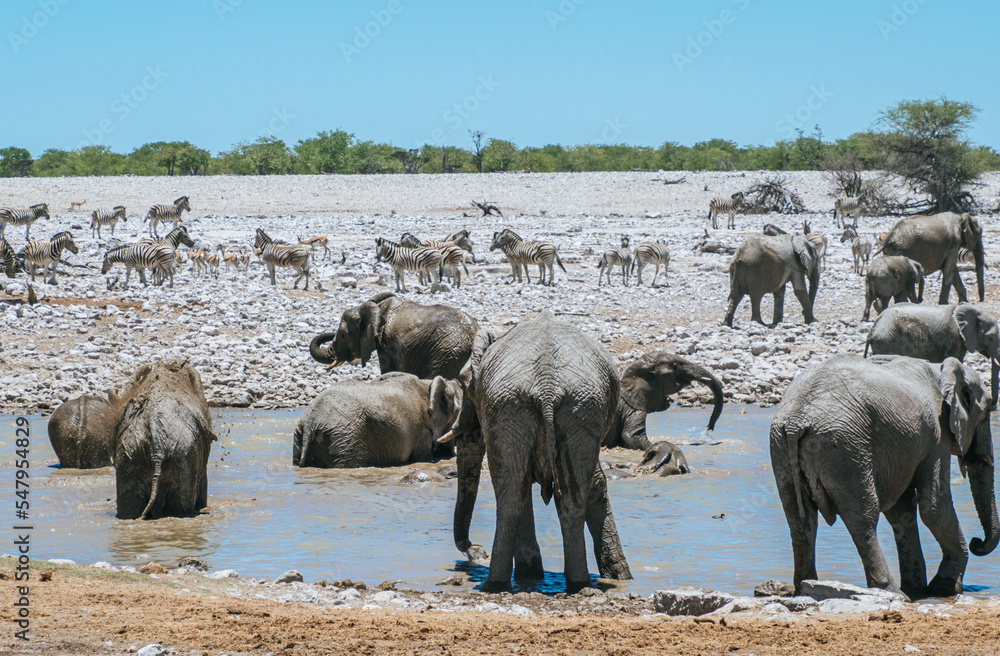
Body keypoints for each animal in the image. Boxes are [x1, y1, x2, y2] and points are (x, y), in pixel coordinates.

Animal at [292, 373, 462, 468]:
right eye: (458, 412)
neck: (428, 383)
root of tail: (311, 422)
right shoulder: (422, 430)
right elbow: (422, 457)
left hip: (301, 436)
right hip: (345, 437)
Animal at [438, 311, 632, 591]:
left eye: (465, 384)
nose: (474, 550)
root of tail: (548, 387)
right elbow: (593, 482)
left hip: (526, 408)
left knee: (514, 493)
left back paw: (500, 584)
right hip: (558, 409)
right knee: (549, 496)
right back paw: (572, 585)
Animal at [770, 354, 998, 599]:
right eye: (986, 412)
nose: (977, 542)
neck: (942, 368)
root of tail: (796, 420)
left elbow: (902, 511)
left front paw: (919, 589)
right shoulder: (936, 435)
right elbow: (934, 507)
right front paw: (944, 588)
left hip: (783, 447)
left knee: (800, 521)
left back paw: (805, 586)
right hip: (844, 448)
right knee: (863, 519)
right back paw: (894, 593)